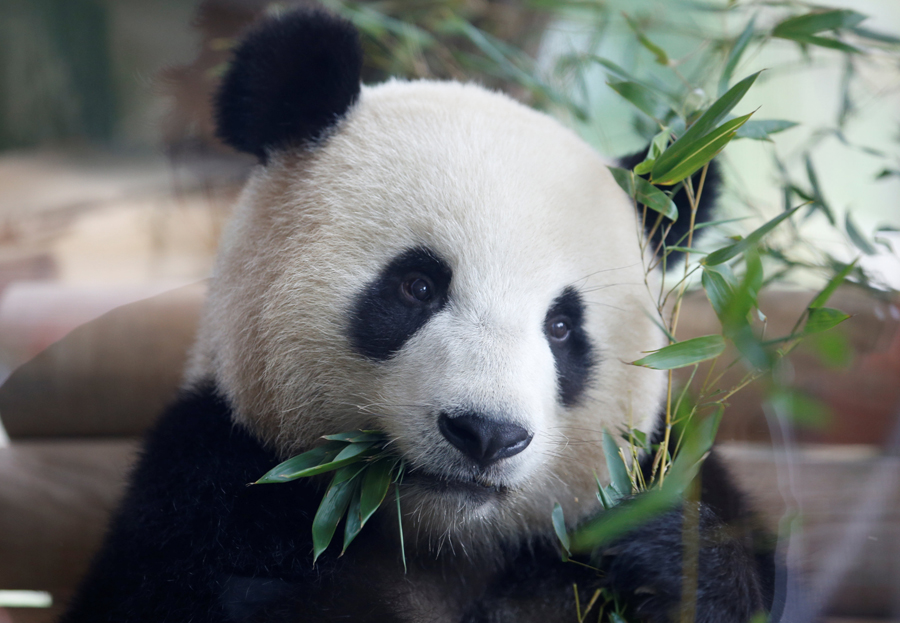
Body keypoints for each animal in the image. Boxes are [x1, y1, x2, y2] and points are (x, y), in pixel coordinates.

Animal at [61, 8, 772, 623]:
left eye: (563, 327)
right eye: (418, 286)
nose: (487, 433)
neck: (441, 539)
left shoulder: (657, 469)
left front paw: (662, 557)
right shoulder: (207, 489)